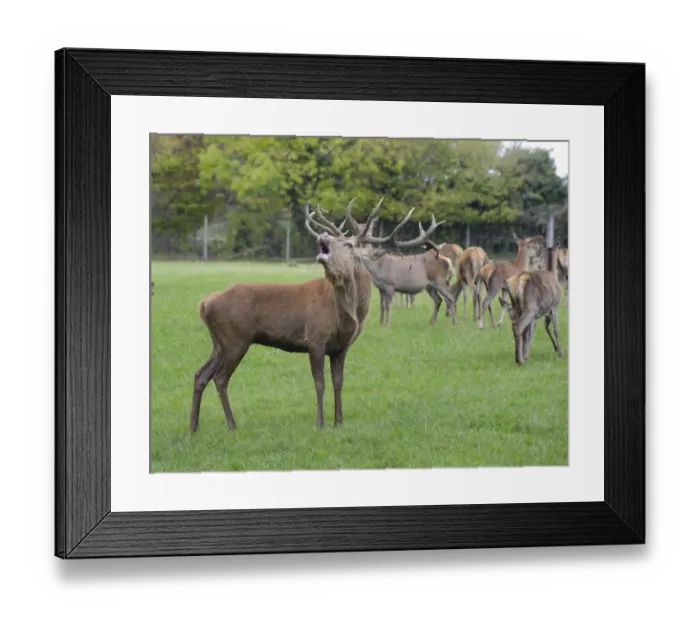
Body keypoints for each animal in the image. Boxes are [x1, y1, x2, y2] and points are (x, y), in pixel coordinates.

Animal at [189, 197, 442, 432]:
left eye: (349, 244)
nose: (324, 236)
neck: (347, 316)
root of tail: (204, 304)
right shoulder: (315, 339)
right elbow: (320, 383)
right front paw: (320, 423)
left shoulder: (341, 347)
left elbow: (338, 382)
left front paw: (339, 421)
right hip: (236, 339)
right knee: (220, 378)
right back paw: (231, 424)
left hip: (219, 342)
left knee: (200, 374)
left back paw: (194, 426)